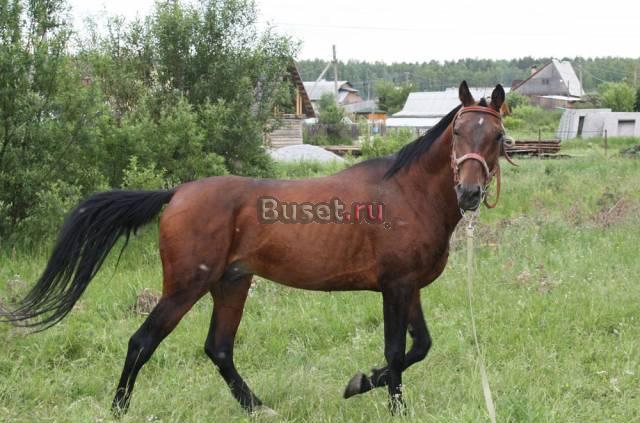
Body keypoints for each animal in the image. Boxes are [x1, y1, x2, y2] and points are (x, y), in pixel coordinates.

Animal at [1, 81, 509, 416]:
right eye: (458, 133)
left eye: (497, 137)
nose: (468, 193)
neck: (405, 193)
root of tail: (176, 192)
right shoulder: (395, 286)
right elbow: (396, 351)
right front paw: (378, 395)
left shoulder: (409, 287)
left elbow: (418, 346)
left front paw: (363, 382)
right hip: (186, 286)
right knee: (142, 341)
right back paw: (120, 408)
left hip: (232, 284)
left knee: (218, 348)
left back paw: (256, 406)